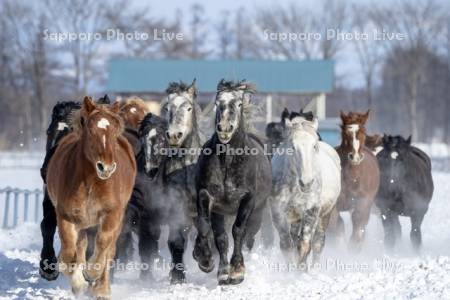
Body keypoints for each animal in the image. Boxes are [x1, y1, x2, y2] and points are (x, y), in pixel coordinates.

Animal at [47, 97, 137, 298]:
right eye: (91, 129)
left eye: (114, 130)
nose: (106, 167)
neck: (91, 182)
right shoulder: (66, 215)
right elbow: (69, 250)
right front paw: (76, 277)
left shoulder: (112, 214)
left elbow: (103, 243)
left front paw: (92, 274)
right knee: (80, 245)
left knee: (109, 250)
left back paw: (101, 288)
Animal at [193, 79, 270, 286]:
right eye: (217, 102)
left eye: (239, 103)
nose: (225, 128)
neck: (228, 161)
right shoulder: (209, 199)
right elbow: (209, 229)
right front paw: (207, 262)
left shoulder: (247, 199)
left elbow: (238, 231)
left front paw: (237, 272)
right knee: (221, 237)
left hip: (258, 214)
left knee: (249, 237)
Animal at [270, 110, 342, 264]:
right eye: (292, 147)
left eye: (314, 146)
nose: (306, 182)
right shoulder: (277, 211)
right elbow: (287, 245)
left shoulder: (312, 210)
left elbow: (304, 245)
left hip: (325, 214)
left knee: (318, 244)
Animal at [330, 111, 380, 250]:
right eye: (345, 133)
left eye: (363, 132)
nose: (355, 156)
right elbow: (337, 225)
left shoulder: (362, 203)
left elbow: (358, 224)